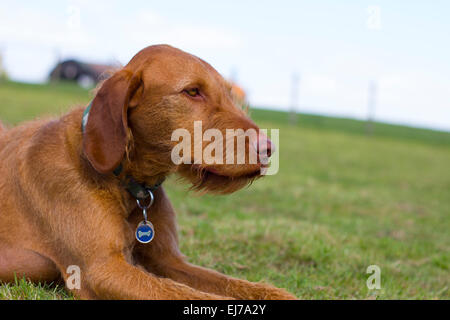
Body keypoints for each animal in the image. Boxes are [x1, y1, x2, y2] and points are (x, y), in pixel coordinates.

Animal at [0, 45, 298, 300]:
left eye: (229, 92)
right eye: (192, 91)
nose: (268, 148)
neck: (129, 183)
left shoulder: (170, 261)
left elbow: (232, 283)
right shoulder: (103, 269)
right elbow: (186, 294)